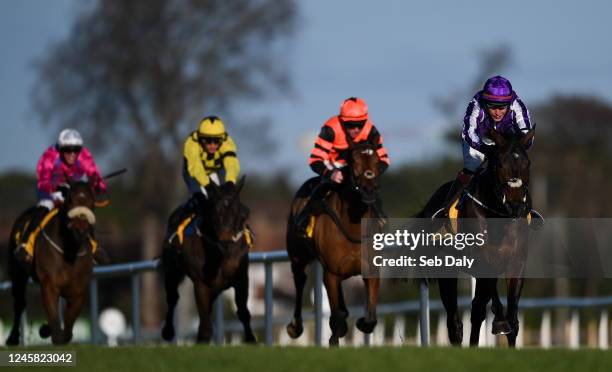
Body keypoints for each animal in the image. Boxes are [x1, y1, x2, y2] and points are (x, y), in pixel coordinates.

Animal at [5, 179, 98, 344]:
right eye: (70, 200)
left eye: (92, 201)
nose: (80, 229)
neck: (69, 252)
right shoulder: (49, 284)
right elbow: (55, 322)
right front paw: (49, 332)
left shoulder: (78, 291)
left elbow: (67, 330)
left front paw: (46, 329)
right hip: (17, 273)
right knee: (19, 302)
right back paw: (13, 337)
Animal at [160, 176, 256, 344]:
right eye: (215, 212)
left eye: (241, 215)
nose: (225, 243)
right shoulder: (201, 284)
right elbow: (205, 325)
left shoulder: (241, 279)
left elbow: (244, 313)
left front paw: (251, 340)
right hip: (171, 269)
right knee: (172, 298)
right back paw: (167, 332)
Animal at [286, 140, 382, 346]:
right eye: (354, 162)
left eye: (377, 161)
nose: (368, 191)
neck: (353, 227)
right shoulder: (330, 274)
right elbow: (336, 316)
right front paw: (334, 337)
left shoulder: (369, 270)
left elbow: (370, 318)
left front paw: (361, 322)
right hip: (298, 256)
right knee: (300, 280)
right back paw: (295, 326)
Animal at [418, 129, 532, 348]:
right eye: (499, 163)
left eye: (527, 163)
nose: (515, 203)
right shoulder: (481, 260)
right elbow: (481, 307)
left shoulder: (516, 262)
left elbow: (512, 317)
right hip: (446, 267)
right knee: (454, 319)